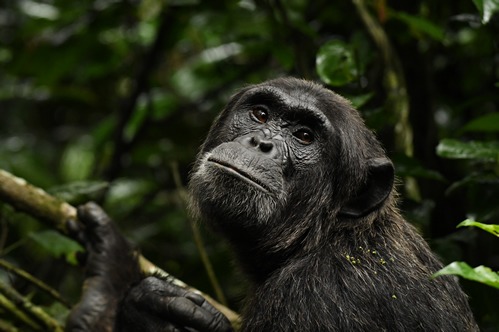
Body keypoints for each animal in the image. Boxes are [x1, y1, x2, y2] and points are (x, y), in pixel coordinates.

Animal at [65, 78, 476, 332]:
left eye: (304, 136)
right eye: (261, 114)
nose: (261, 142)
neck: (324, 236)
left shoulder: (315, 300)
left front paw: (114, 280)